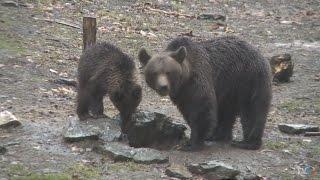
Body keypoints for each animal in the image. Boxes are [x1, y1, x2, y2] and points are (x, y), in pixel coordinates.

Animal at [139, 36, 272, 150]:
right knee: (226, 111)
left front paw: (192, 143)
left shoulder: (198, 80)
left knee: (252, 109)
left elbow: (201, 108)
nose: (163, 87)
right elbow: (188, 110)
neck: (184, 80)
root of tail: (259, 53)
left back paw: (248, 142)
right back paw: (219, 135)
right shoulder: (182, 95)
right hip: (229, 87)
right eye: (154, 73)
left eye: (168, 72)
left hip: (248, 79)